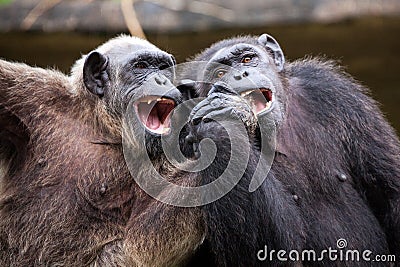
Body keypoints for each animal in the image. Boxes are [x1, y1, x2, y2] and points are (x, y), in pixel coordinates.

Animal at [182, 34, 400, 266]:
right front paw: (222, 119)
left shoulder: (337, 93)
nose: (241, 74)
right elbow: (275, 248)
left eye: (247, 59)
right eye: (220, 74)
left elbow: (391, 191)